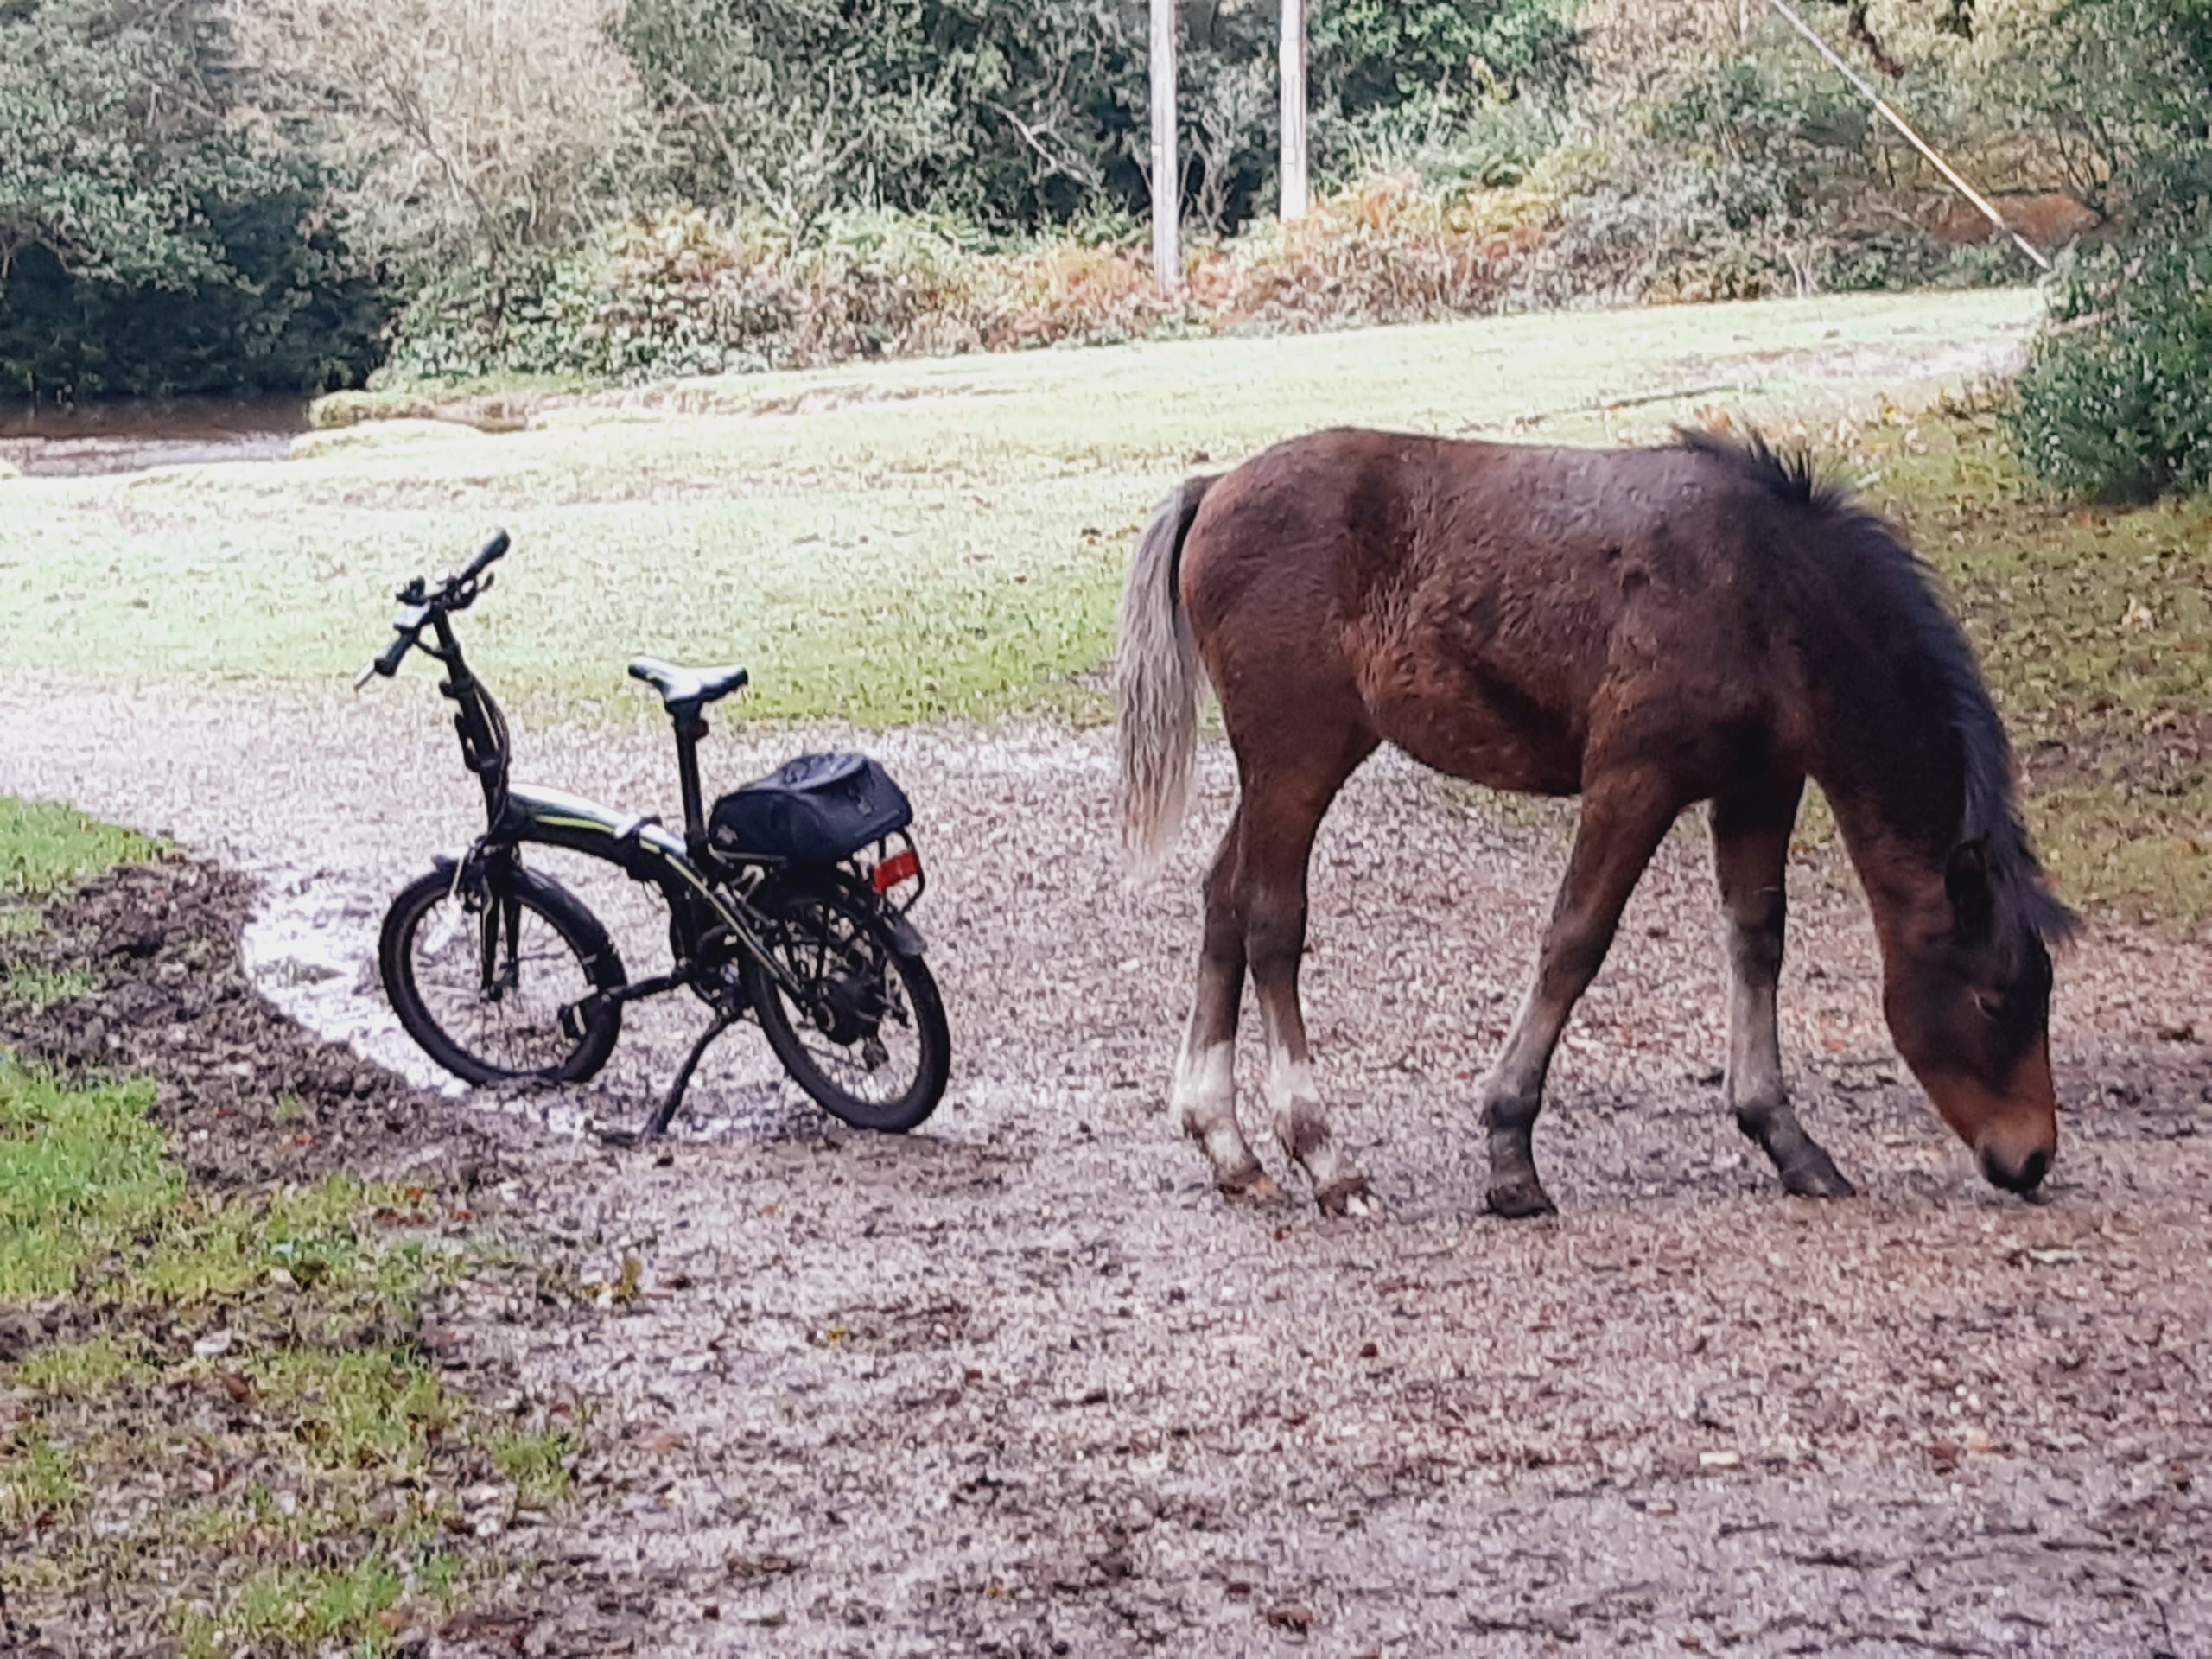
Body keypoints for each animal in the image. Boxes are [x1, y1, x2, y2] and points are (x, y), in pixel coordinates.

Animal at [1112, 426, 2076, 1218]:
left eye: (2043, 994)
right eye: (1993, 998)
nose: (2028, 1159)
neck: (1766, 590)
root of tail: (1214, 488)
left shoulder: (1760, 786)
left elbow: (1757, 940)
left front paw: (1786, 1139)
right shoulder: (1632, 778)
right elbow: (1575, 941)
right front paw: (1510, 1157)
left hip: (1304, 757)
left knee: (1224, 899)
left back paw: (1228, 1147)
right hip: (1296, 753)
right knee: (1273, 923)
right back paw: (1326, 1159)